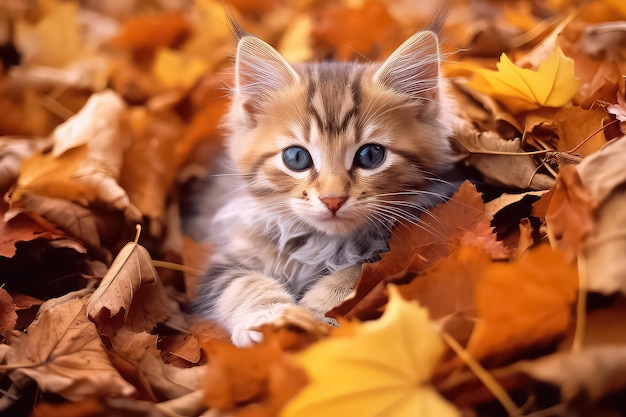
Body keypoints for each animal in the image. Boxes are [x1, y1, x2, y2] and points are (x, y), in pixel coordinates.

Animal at [190, 28, 454, 344]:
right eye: (296, 157)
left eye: (370, 155)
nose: (333, 199)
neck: (322, 244)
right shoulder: (230, 256)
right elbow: (244, 284)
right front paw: (269, 320)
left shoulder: (396, 249)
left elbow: (351, 276)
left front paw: (316, 319)